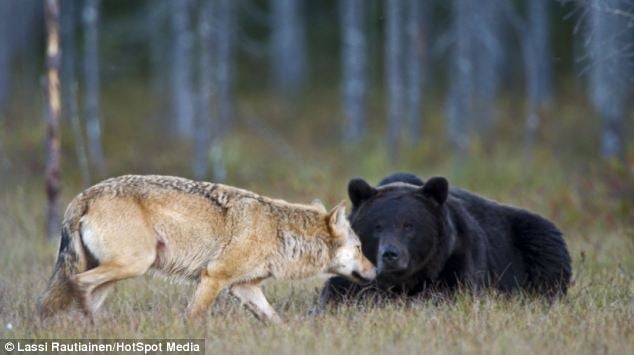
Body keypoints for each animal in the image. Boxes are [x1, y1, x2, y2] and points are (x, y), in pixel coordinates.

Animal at [318, 174, 572, 304]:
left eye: (409, 225)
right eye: (377, 226)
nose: (390, 254)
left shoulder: (455, 262)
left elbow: (451, 295)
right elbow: (339, 294)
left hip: (532, 240)